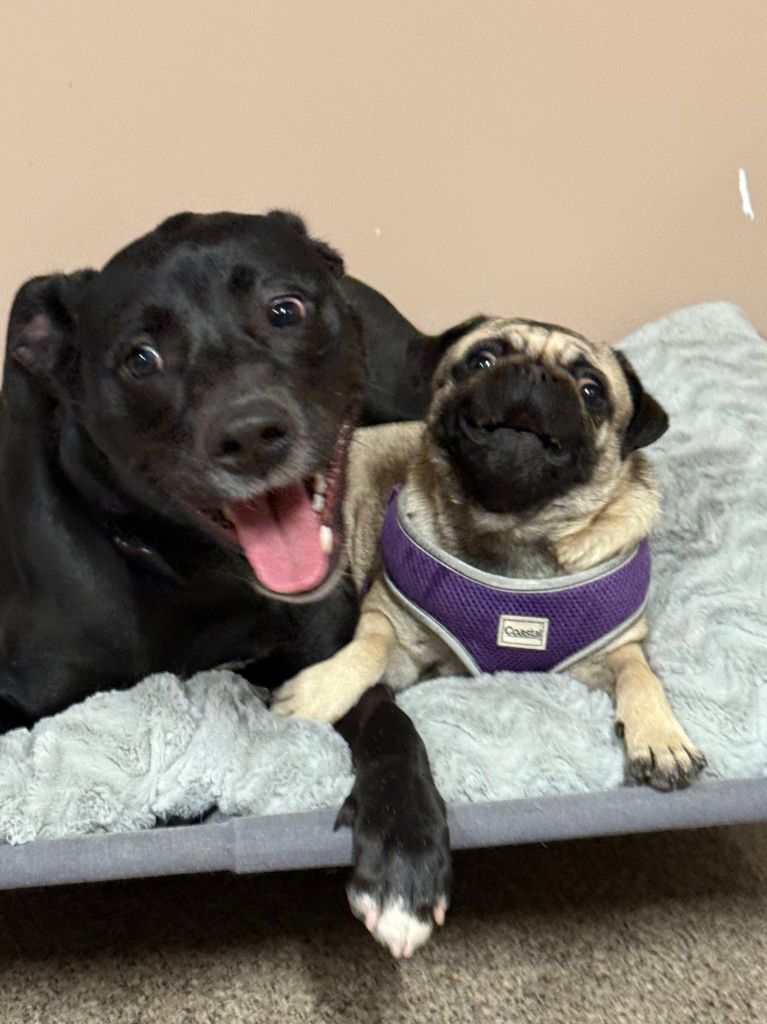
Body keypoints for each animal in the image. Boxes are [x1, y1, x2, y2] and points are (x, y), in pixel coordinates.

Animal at [0, 210, 450, 958]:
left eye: (284, 309)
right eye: (141, 359)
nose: (251, 435)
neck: (198, 577)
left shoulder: (325, 661)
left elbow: (388, 718)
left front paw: (404, 847)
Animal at [274, 315, 708, 947]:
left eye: (591, 390)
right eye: (481, 360)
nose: (532, 373)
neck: (511, 535)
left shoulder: (614, 649)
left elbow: (641, 674)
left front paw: (662, 735)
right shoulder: (397, 633)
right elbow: (368, 648)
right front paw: (317, 691)